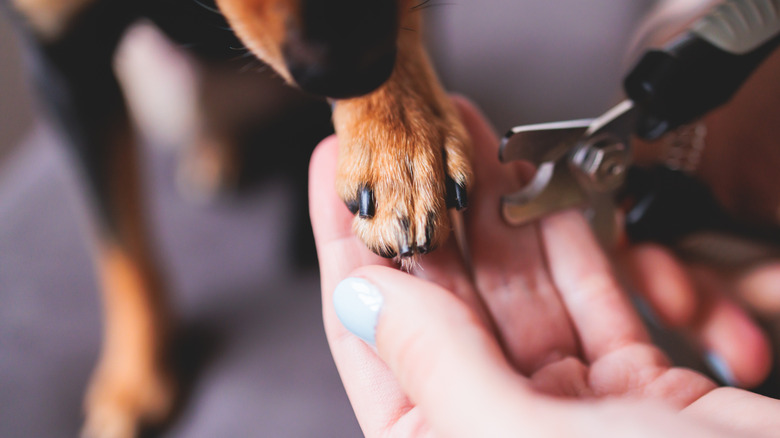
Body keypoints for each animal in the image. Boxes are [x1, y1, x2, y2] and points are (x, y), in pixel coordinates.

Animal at [1, 0, 470, 434]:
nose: (357, 72)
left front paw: (401, 136)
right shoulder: (65, 60)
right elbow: (120, 245)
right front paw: (137, 379)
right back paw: (217, 156)